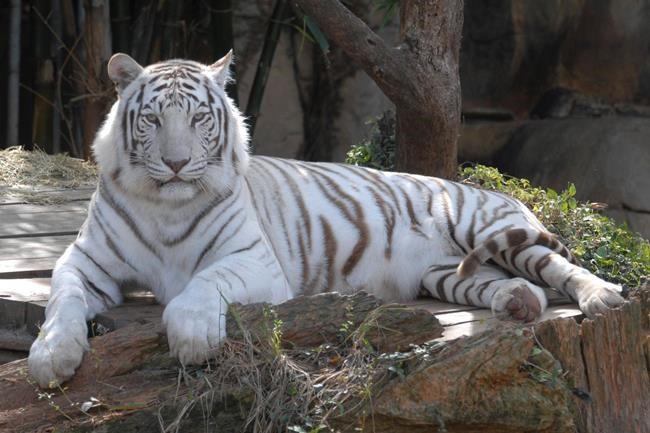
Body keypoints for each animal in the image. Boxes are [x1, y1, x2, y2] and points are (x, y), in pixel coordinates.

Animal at [28, 52, 625, 388]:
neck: (165, 203)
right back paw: (519, 302)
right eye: (153, 119)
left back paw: (604, 299)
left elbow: (202, 283)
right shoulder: (86, 260)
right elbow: (62, 299)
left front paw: (193, 336)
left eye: (198, 117)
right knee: (512, 285)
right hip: (446, 274)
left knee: (561, 269)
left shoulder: (254, 261)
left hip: (486, 228)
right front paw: (50, 357)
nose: (176, 163)